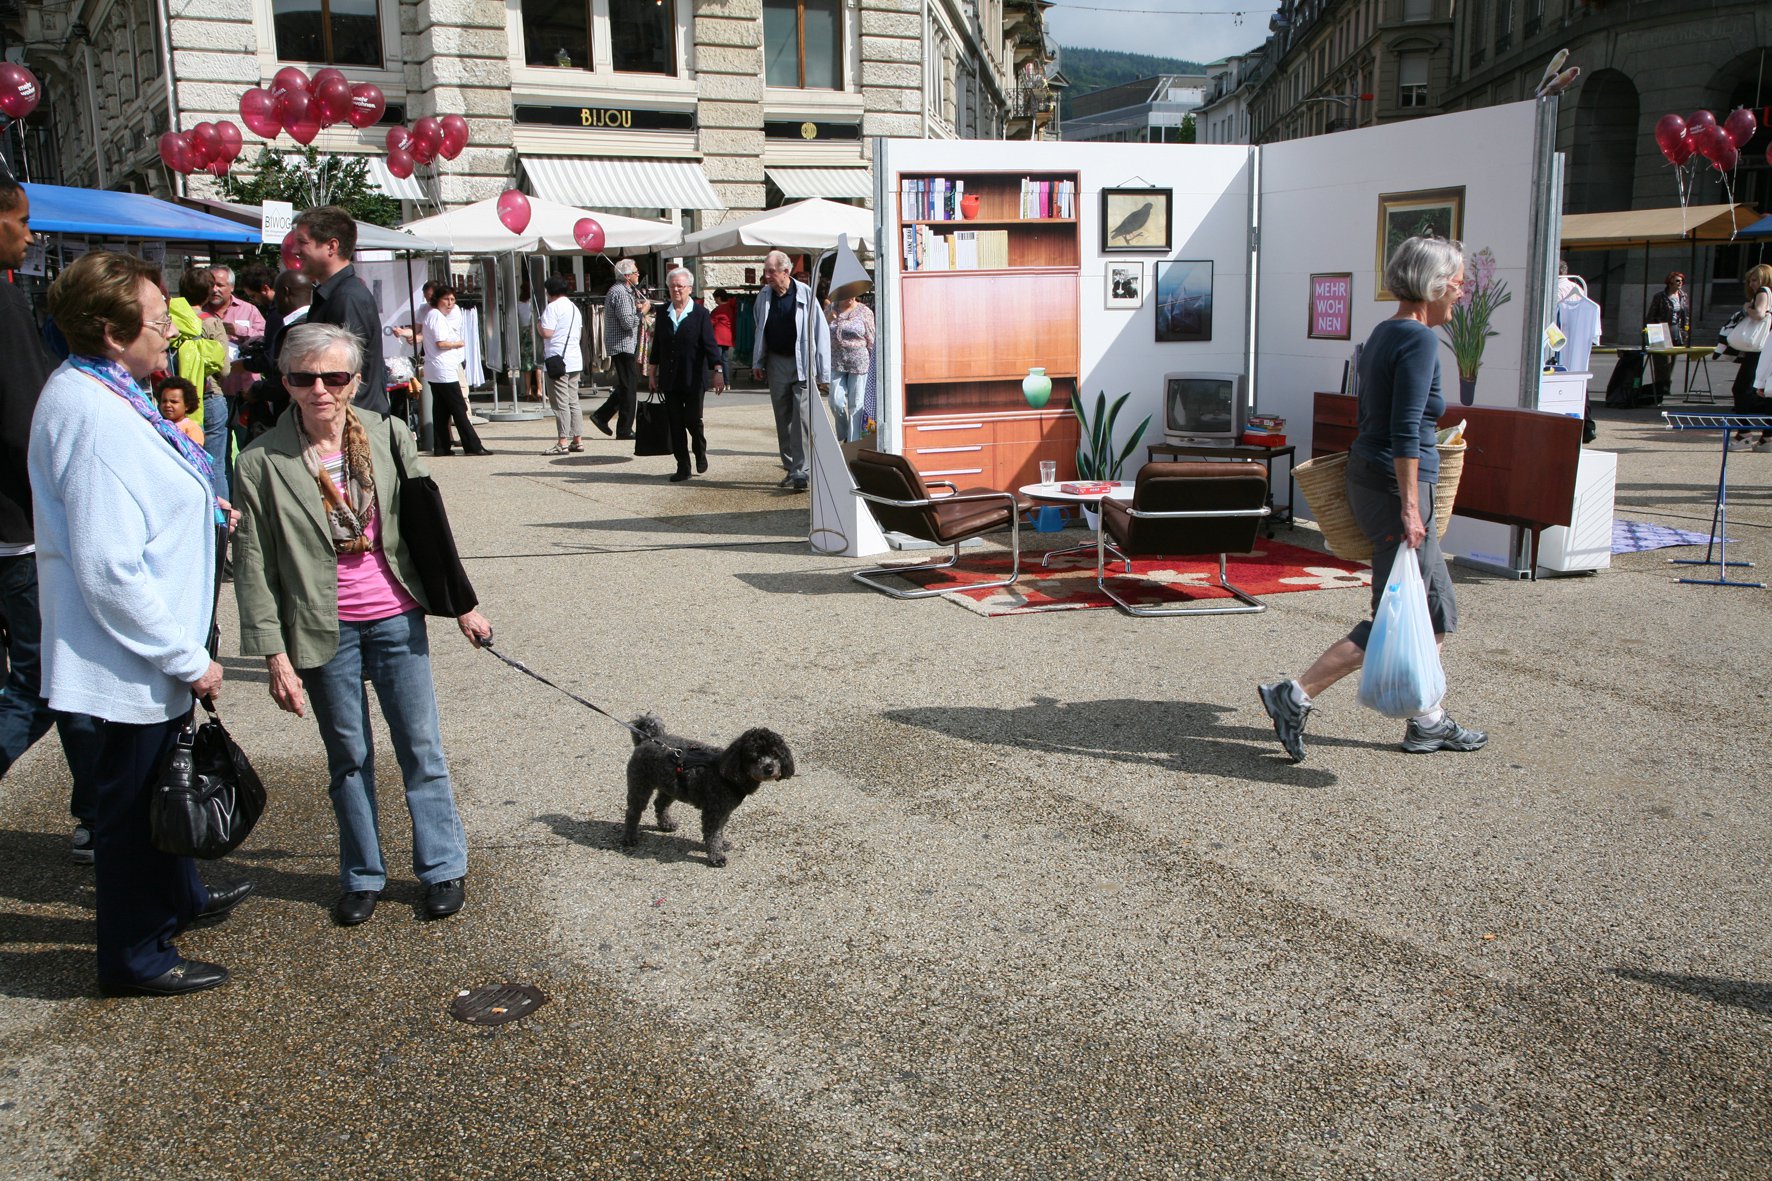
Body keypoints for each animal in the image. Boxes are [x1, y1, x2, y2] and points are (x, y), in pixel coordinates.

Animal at [620, 709, 793, 865]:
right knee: (633, 812)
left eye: (775, 754)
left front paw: (722, 844)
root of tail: (648, 739)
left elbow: (719, 831)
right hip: (640, 785)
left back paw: (666, 824)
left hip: (671, 786)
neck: (726, 772)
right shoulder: (713, 812)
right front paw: (717, 856)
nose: (769, 768)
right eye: (754, 756)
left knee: (660, 804)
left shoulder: (724, 812)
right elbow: (713, 835)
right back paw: (629, 837)